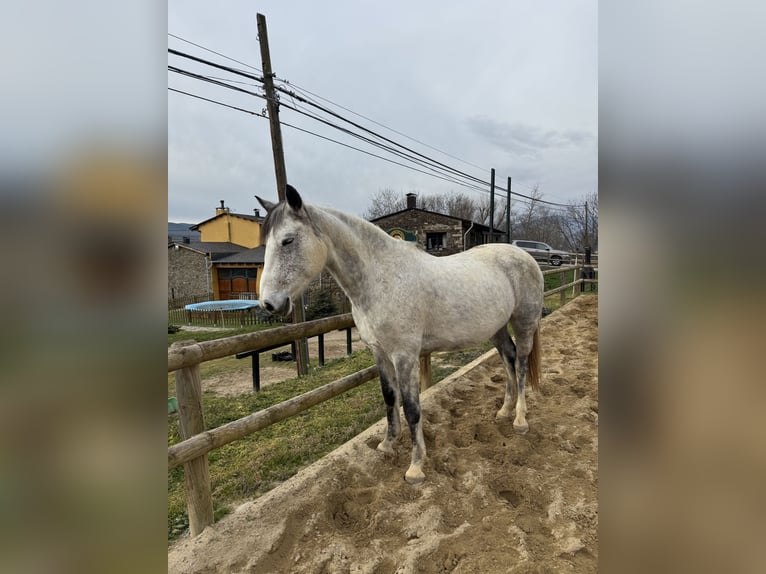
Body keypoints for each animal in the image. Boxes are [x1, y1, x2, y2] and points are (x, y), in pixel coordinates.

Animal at [258, 188, 544, 486]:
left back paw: (520, 419)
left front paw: (416, 466)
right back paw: (504, 411)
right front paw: (387, 444)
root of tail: (525, 256)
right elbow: (389, 398)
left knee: (521, 365)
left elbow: (411, 408)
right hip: (496, 330)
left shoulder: (404, 356)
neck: (382, 280)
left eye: (288, 240)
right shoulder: (379, 353)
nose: (269, 304)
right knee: (508, 359)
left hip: (523, 324)